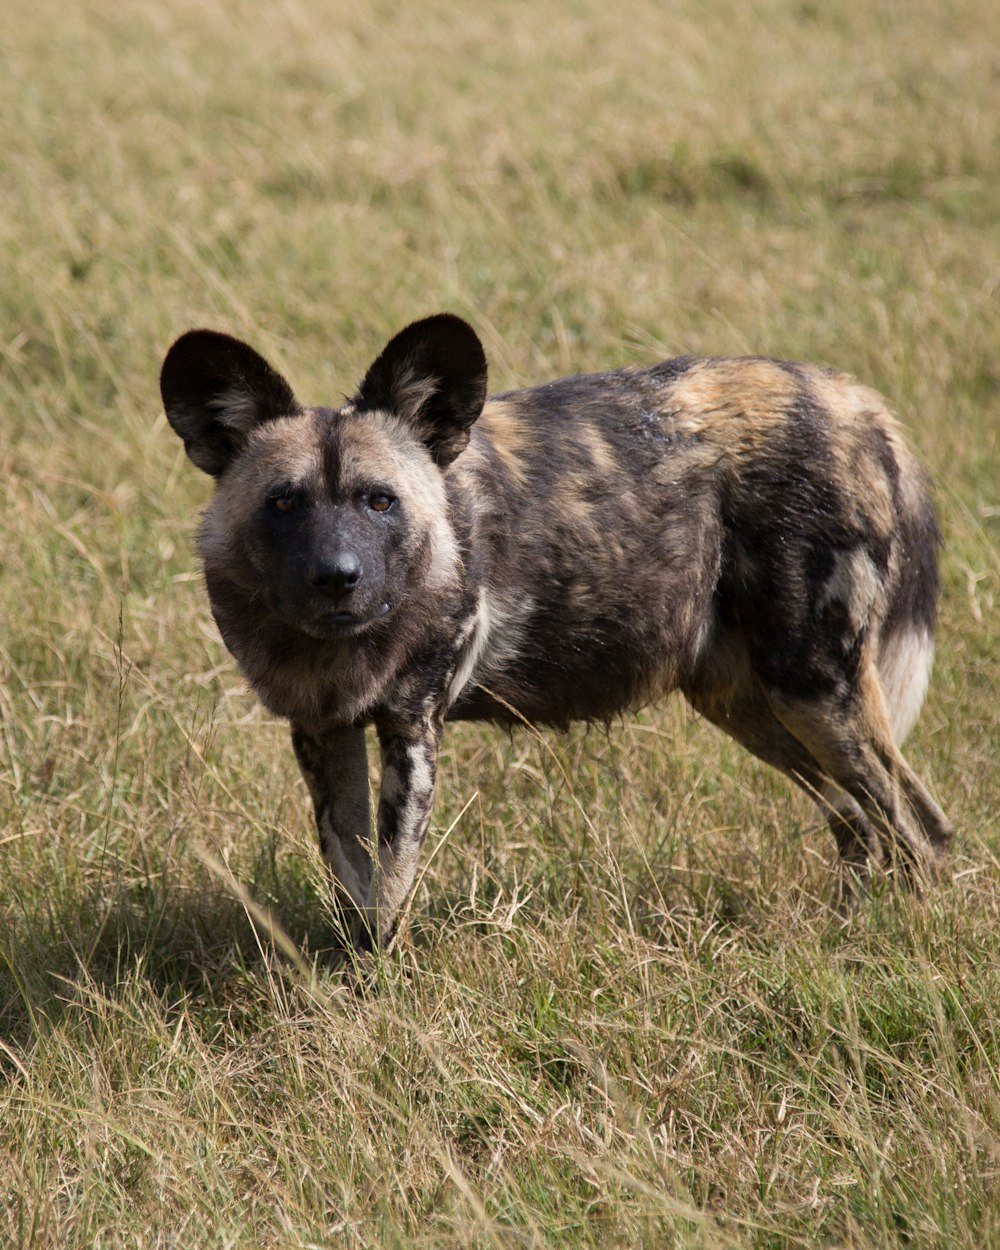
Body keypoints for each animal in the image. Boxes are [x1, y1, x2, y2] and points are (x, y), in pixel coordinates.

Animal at [162, 317, 955, 960]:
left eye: (379, 501)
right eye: (284, 503)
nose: (337, 577)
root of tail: (855, 400)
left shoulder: (412, 729)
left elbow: (389, 892)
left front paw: (377, 994)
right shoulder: (324, 729)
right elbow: (355, 885)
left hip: (814, 690)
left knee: (918, 827)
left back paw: (902, 939)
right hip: (750, 705)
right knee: (861, 823)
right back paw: (845, 929)